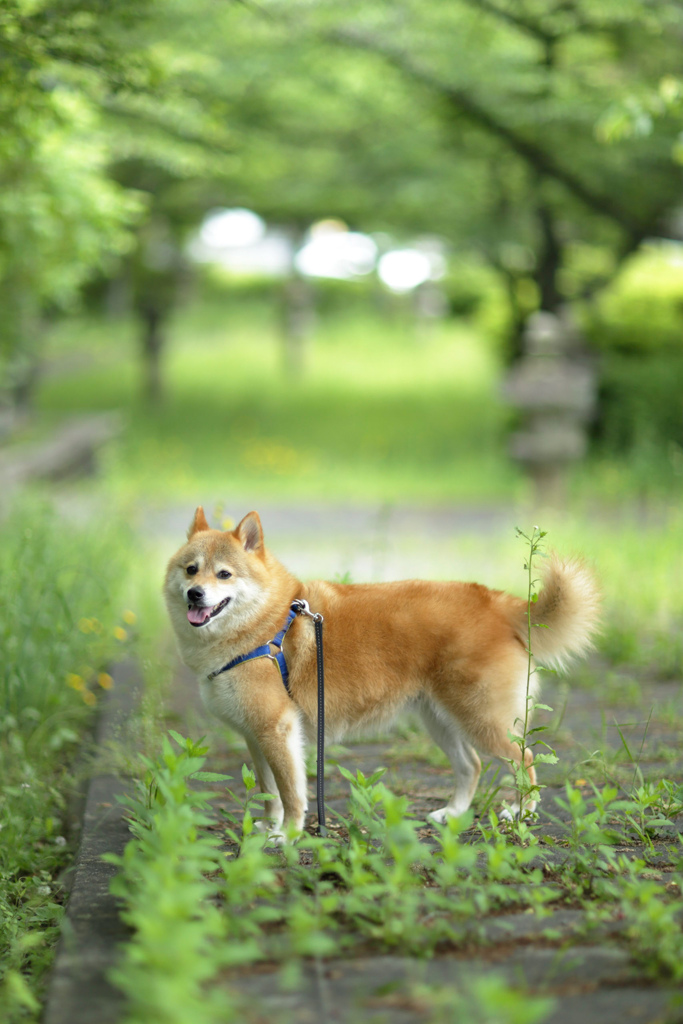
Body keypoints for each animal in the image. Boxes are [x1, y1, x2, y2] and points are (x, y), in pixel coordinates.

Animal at [163, 507, 598, 835]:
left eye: (224, 574)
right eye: (191, 569)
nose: (195, 594)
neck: (267, 624)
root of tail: (494, 602)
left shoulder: (277, 730)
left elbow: (291, 795)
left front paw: (287, 836)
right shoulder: (256, 737)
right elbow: (271, 794)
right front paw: (270, 829)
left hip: (483, 720)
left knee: (526, 760)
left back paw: (521, 814)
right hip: (441, 720)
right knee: (470, 766)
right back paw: (453, 814)